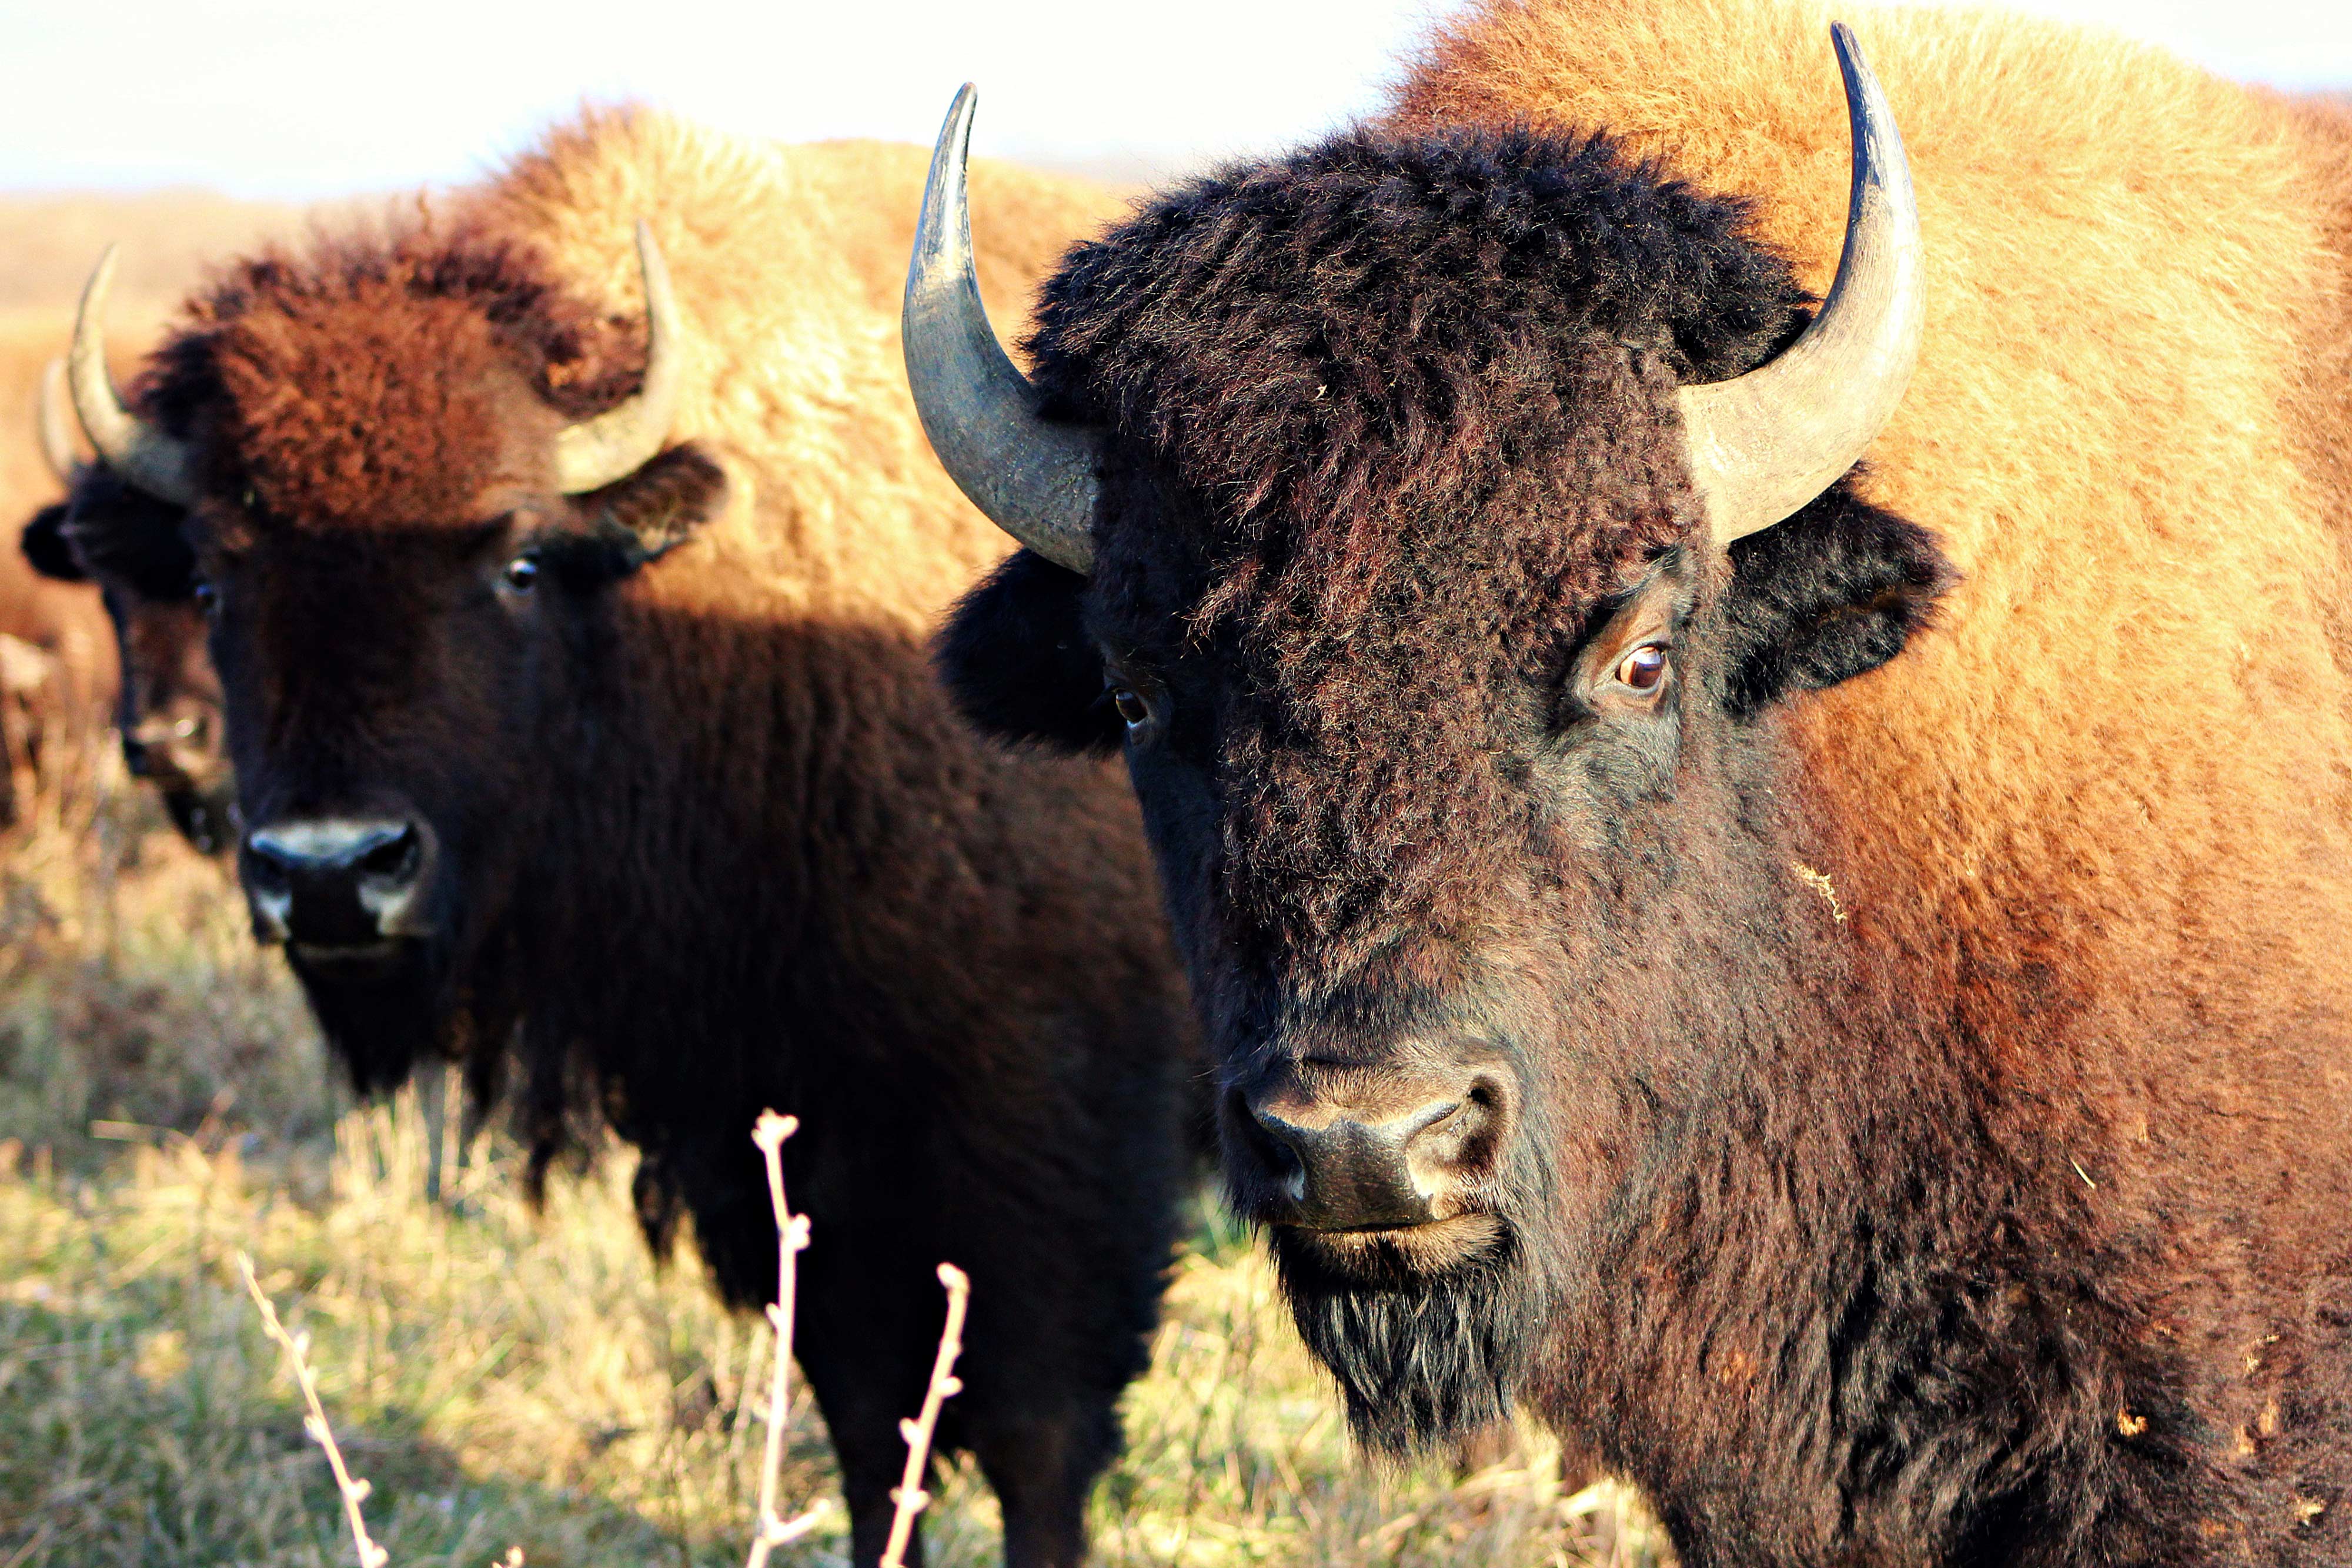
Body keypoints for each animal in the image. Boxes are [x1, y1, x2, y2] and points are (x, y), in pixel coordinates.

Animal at [61, 109, 1195, 1568]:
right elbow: (869, 1421)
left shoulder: (1053, 1128)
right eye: (209, 576)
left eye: (516, 560)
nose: (329, 872)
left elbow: (1034, 1432)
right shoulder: (775, 1137)